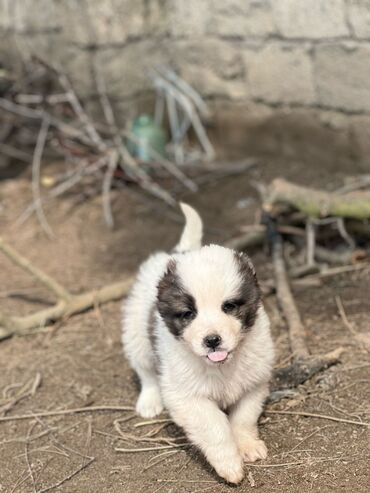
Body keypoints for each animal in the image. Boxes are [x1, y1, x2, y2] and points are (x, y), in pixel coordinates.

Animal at [122, 202, 274, 482]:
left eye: (229, 306)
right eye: (188, 313)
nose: (212, 340)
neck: (221, 366)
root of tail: (180, 251)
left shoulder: (254, 384)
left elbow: (243, 418)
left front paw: (247, 445)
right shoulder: (186, 397)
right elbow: (214, 426)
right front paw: (229, 464)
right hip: (136, 334)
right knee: (146, 371)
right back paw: (149, 401)